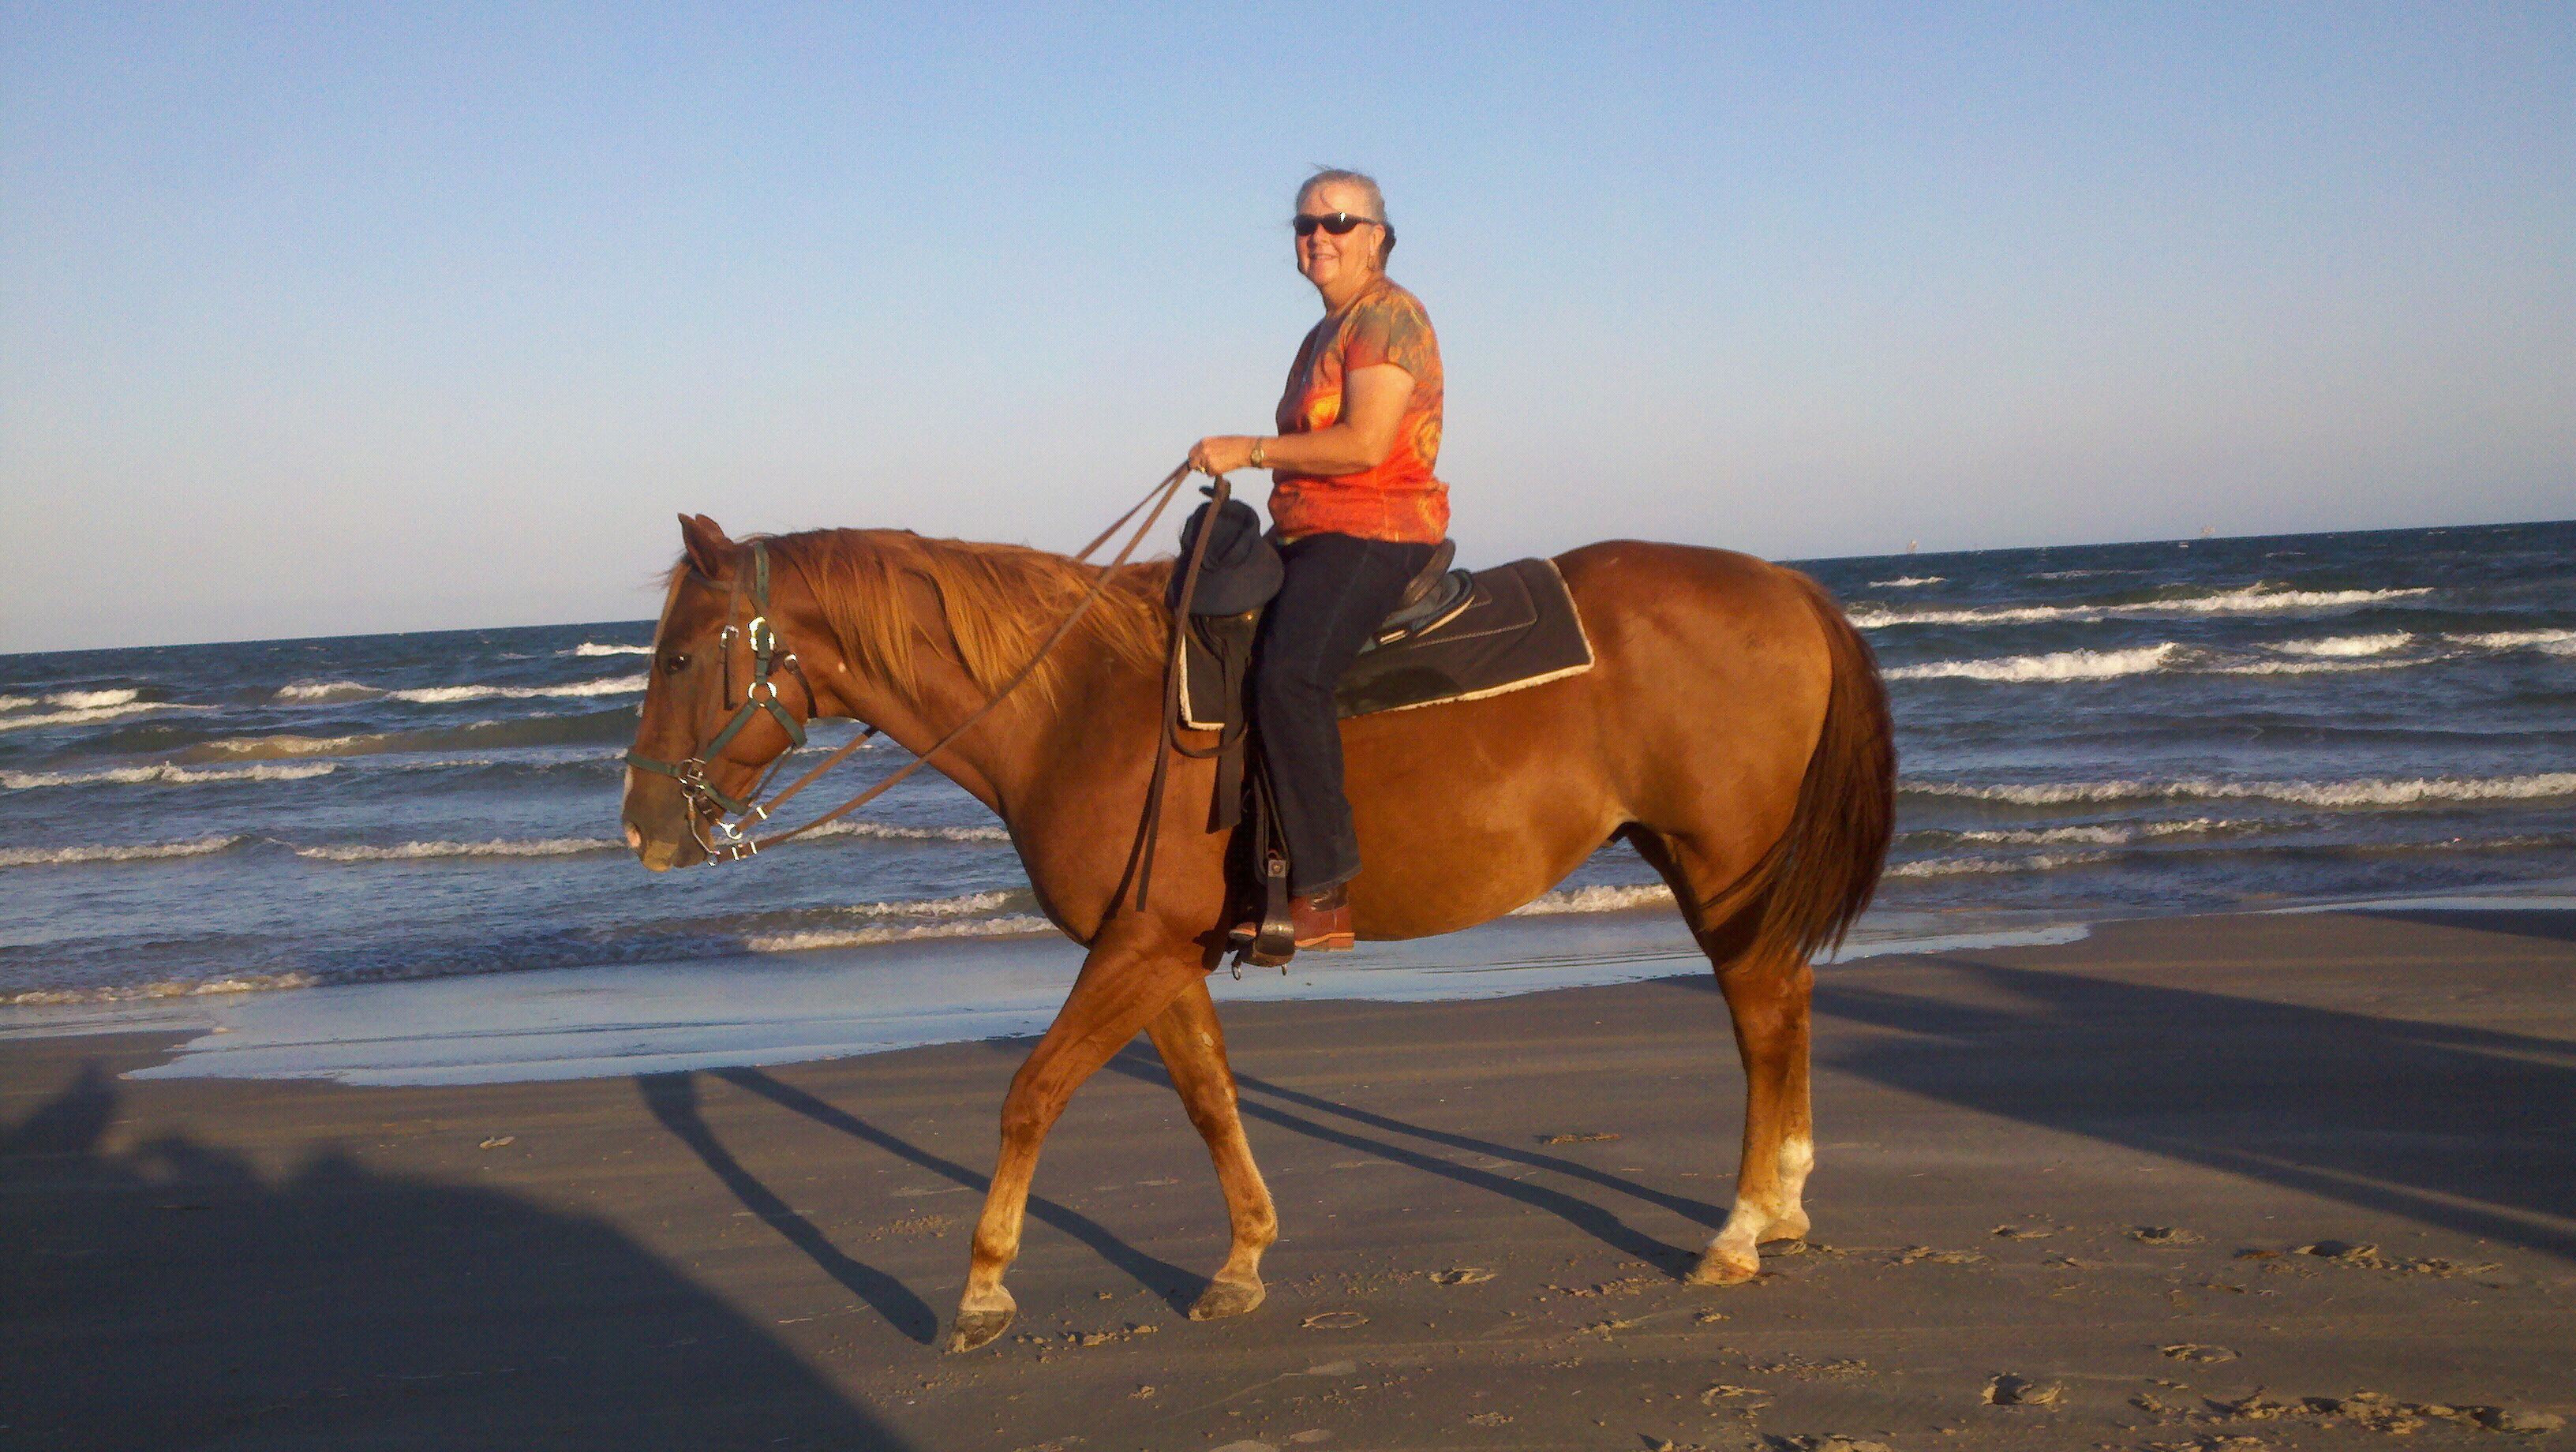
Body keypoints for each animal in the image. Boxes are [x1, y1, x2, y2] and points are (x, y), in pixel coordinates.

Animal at [620, 510, 1895, 1353]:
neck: (1074, 707)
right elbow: (1208, 1097)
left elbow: (1032, 1092)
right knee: (1782, 1005)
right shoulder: (1160, 950)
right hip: (1704, 864)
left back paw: (1740, 1228)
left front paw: (982, 1288)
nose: (640, 824)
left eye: (679, 655)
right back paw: (1782, 1205)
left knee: (1763, 1015)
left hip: (1721, 863)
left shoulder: (1135, 951)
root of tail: (1788, 586)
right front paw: (1241, 1260)